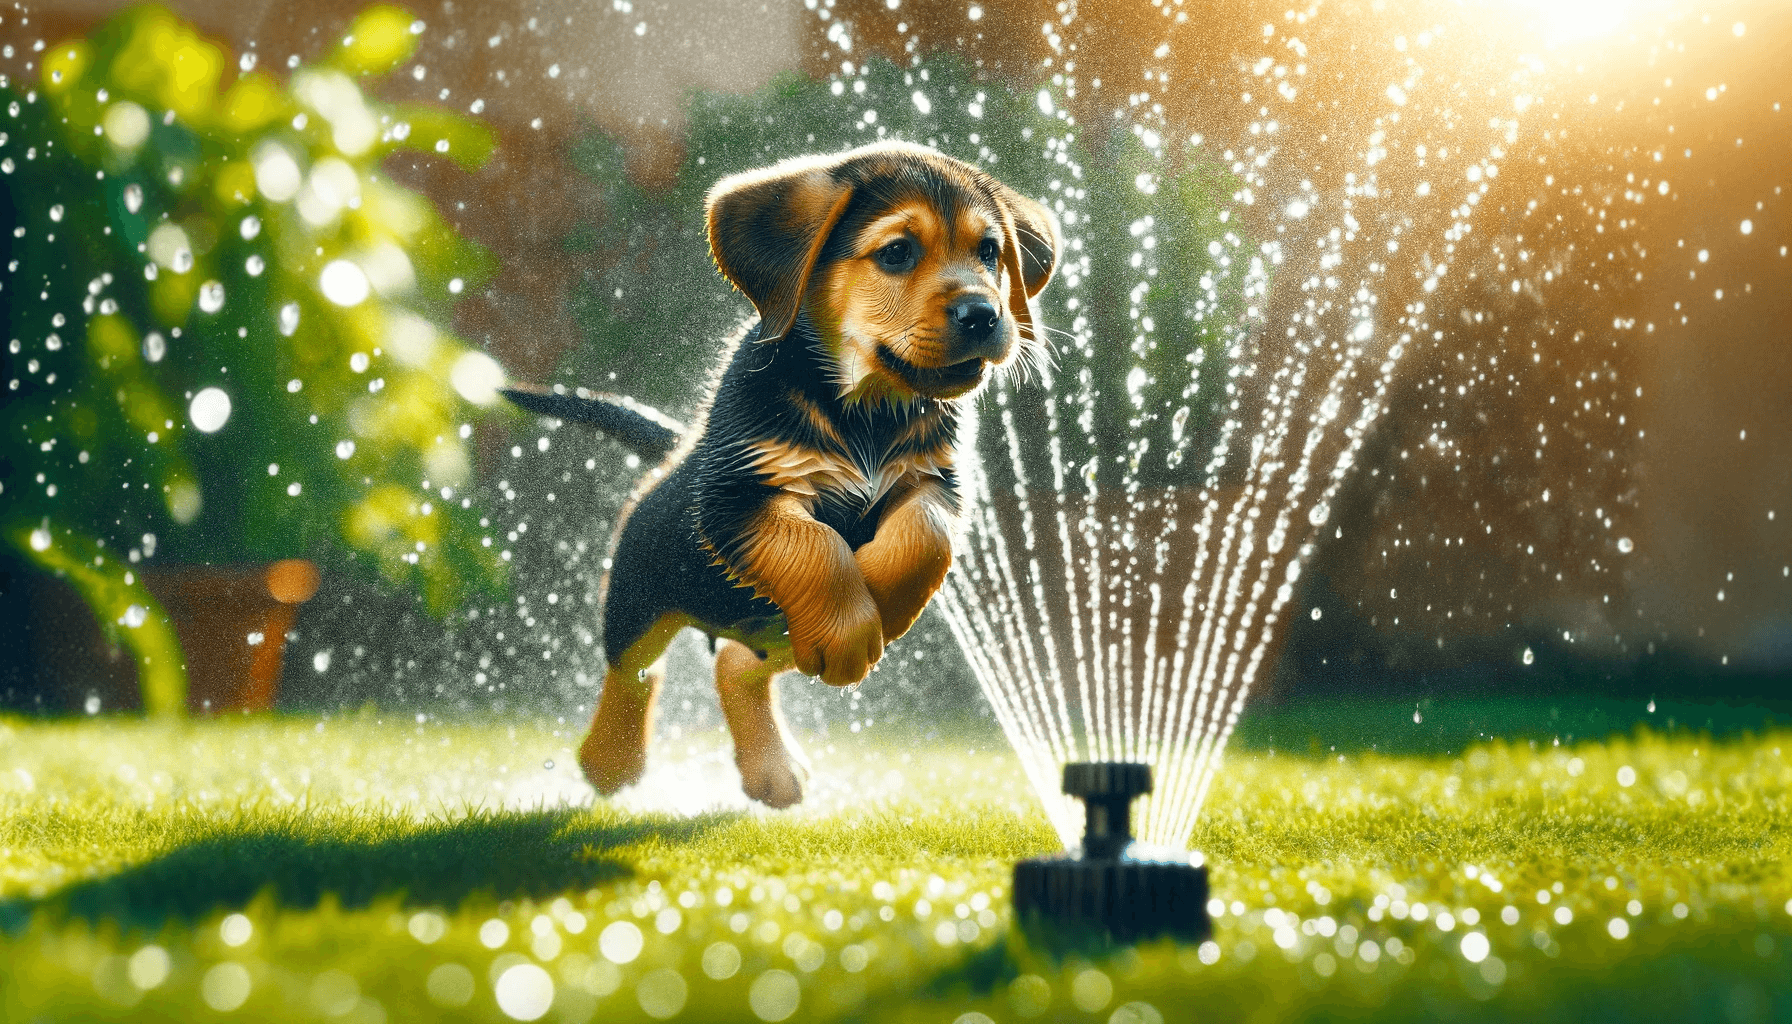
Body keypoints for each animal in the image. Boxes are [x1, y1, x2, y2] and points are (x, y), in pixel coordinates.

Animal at [505, 139, 1053, 810]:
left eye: (990, 253)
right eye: (897, 252)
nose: (984, 315)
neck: (865, 411)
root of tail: (675, 453)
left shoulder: (934, 483)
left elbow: (922, 540)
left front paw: (881, 597)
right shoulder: (741, 493)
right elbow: (815, 546)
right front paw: (851, 622)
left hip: (772, 627)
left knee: (736, 663)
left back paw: (772, 768)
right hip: (641, 590)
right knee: (634, 669)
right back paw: (611, 762)